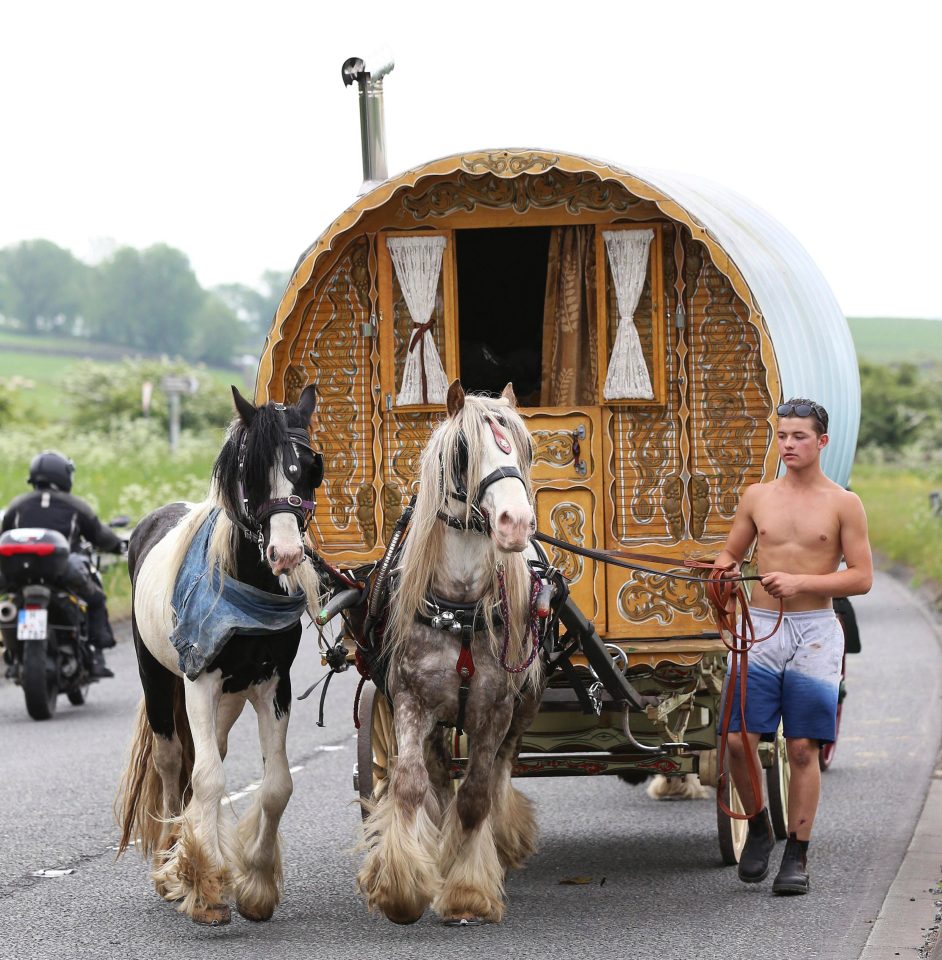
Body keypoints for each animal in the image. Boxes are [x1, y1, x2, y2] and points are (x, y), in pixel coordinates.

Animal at [116, 386, 324, 928]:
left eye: (309, 468)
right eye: (251, 470)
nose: (286, 554)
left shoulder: (274, 685)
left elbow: (276, 786)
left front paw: (255, 886)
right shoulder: (200, 682)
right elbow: (207, 777)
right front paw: (203, 884)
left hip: (229, 698)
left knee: (212, 753)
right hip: (157, 677)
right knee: (174, 761)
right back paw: (170, 856)